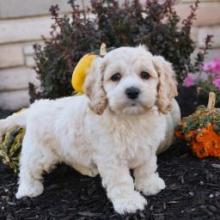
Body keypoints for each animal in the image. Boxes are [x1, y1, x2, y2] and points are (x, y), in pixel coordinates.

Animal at [0, 46, 180, 213]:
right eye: (115, 77)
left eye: (145, 75)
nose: (132, 91)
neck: (131, 118)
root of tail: (33, 108)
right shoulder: (112, 157)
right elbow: (121, 180)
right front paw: (129, 202)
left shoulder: (147, 148)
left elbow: (147, 167)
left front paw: (149, 184)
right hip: (39, 153)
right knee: (27, 168)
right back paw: (28, 189)